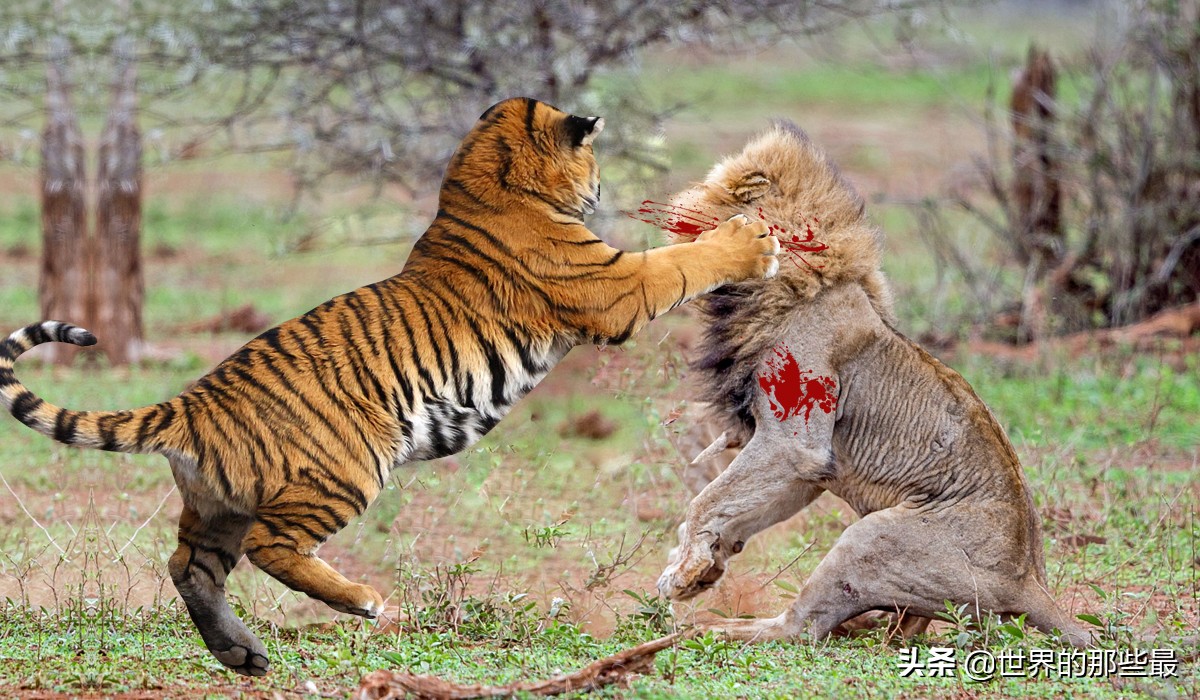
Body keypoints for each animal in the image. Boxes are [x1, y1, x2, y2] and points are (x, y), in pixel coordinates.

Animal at [0, 97, 779, 675]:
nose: (599, 190)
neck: (489, 180)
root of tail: (189, 402)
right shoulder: (614, 287)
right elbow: (679, 262)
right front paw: (751, 240)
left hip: (216, 505)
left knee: (188, 566)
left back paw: (242, 652)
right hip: (345, 469)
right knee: (270, 547)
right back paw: (361, 602)